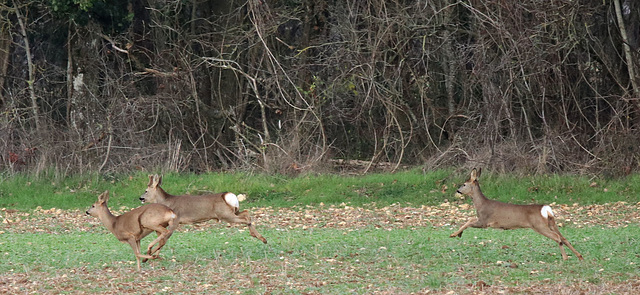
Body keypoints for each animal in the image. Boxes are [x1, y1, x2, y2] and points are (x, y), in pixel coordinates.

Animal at [139, 176, 268, 245]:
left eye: (146, 190)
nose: (140, 198)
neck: (166, 202)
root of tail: (227, 195)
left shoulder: (176, 220)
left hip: (225, 214)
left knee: (245, 218)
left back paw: (259, 237)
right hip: (233, 211)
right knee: (246, 213)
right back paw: (262, 238)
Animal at [450, 169, 584, 262]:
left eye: (464, 184)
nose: (457, 190)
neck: (480, 204)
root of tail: (546, 209)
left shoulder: (484, 221)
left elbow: (468, 221)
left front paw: (454, 234)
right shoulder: (482, 221)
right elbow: (469, 220)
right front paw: (458, 234)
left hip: (539, 225)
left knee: (557, 237)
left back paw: (565, 258)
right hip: (551, 223)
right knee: (563, 238)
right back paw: (579, 256)